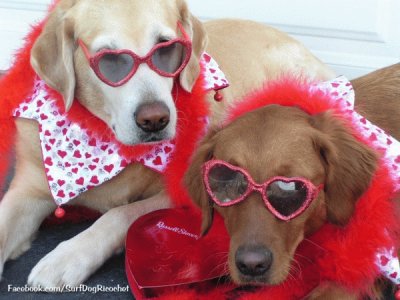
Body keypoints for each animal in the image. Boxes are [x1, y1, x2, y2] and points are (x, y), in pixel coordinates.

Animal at [0, 0, 332, 288]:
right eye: (110, 59)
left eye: (168, 48)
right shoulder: (26, 192)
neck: (109, 148)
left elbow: (120, 214)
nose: (155, 119)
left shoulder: (182, 194)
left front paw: (68, 256)